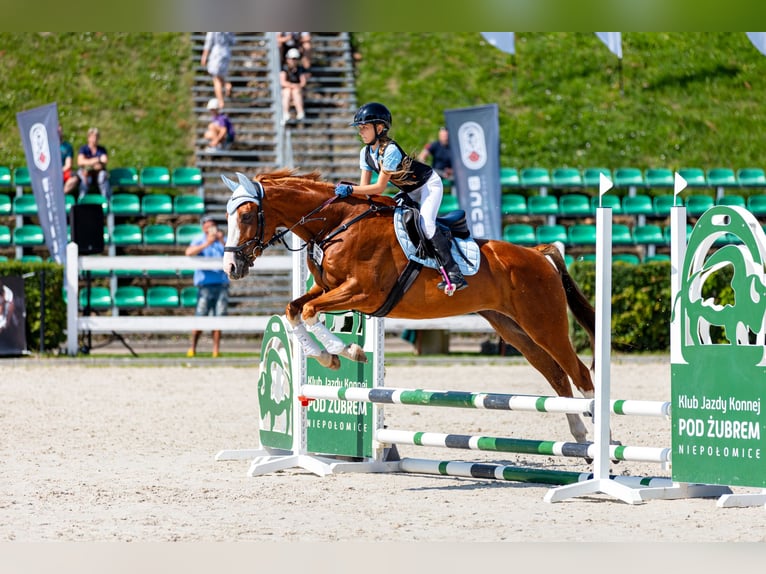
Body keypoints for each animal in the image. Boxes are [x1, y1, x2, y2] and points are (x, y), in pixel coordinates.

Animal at [222, 169, 597, 443]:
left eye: (246, 215)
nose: (231, 267)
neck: (336, 224)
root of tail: (536, 253)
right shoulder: (325, 288)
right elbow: (293, 309)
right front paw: (327, 356)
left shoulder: (362, 293)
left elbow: (311, 311)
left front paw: (346, 352)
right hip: (514, 328)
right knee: (556, 375)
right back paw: (580, 436)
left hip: (544, 325)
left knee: (580, 373)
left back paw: (600, 442)